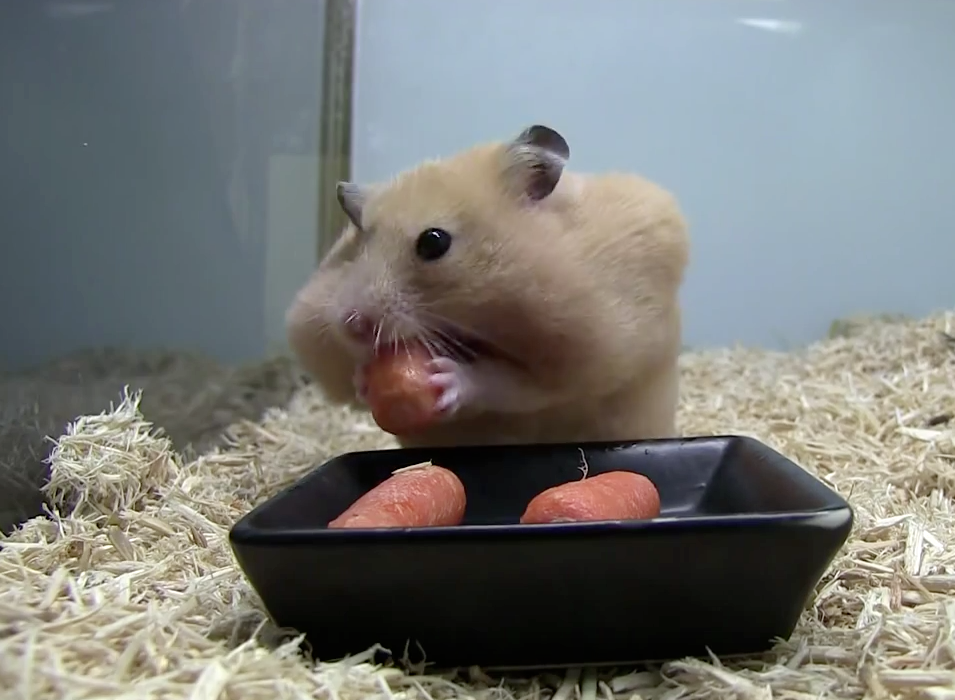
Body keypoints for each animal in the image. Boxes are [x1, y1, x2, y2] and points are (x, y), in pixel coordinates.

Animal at [286, 124, 690, 448]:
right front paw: (364, 377)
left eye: (433, 242)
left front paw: (449, 378)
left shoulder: (586, 356)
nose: (352, 324)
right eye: (359, 241)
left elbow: (513, 384)